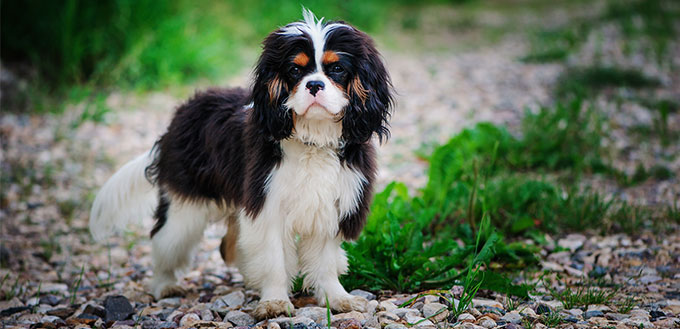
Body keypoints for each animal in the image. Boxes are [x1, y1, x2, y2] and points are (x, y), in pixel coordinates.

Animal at [91, 9, 394, 318]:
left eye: (337, 69)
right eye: (295, 70)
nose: (314, 85)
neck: (313, 138)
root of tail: (178, 118)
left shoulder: (331, 206)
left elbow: (326, 262)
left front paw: (337, 299)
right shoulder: (267, 206)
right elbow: (274, 259)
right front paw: (274, 302)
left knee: (230, 245)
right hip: (183, 212)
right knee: (164, 240)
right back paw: (165, 285)